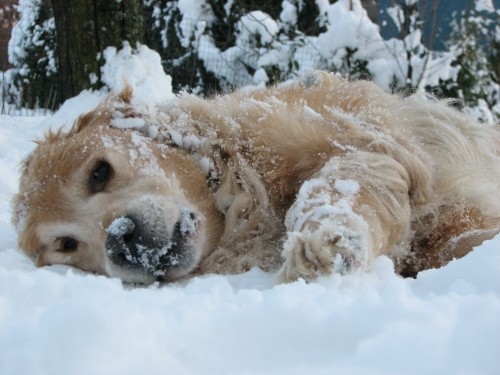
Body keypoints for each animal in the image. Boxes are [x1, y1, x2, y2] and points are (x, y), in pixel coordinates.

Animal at [11, 72, 500, 284]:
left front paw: (327, 239)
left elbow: (344, 179)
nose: (121, 241)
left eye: (99, 172)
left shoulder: (368, 142)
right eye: (67, 245)